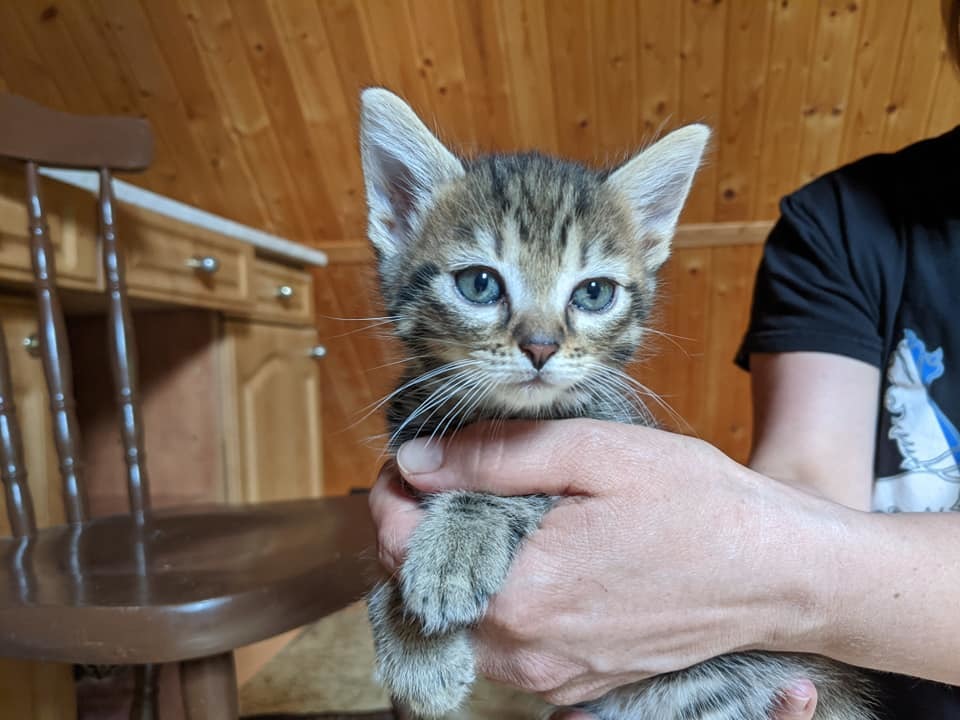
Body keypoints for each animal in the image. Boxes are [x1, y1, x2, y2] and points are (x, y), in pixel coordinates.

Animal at [360, 87, 879, 720]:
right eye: (479, 284)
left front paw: (450, 557)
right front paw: (410, 640)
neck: (505, 417)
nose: (540, 346)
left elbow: (508, 492)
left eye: (593, 293)